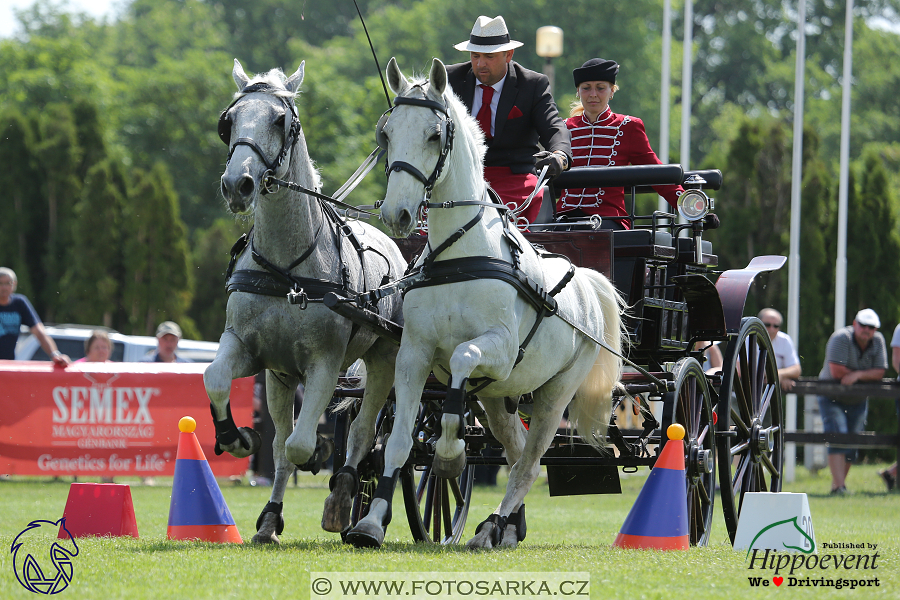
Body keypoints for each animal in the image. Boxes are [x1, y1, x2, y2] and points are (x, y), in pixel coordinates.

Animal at [206, 59, 406, 544]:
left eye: (281, 121)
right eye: (229, 121)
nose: (237, 184)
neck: (288, 270)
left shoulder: (325, 364)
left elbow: (300, 444)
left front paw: (318, 454)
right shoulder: (250, 350)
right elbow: (217, 381)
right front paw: (238, 438)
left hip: (384, 359)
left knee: (362, 432)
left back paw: (344, 496)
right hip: (281, 378)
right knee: (282, 442)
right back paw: (269, 520)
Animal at [344, 58, 624, 552]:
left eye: (434, 134)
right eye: (387, 133)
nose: (397, 214)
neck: (461, 253)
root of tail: (588, 282)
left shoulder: (498, 347)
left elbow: (460, 360)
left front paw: (450, 453)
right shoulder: (413, 354)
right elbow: (397, 442)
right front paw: (372, 523)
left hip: (555, 394)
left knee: (529, 463)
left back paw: (494, 524)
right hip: (501, 396)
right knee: (515, 452)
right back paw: (504, 527)